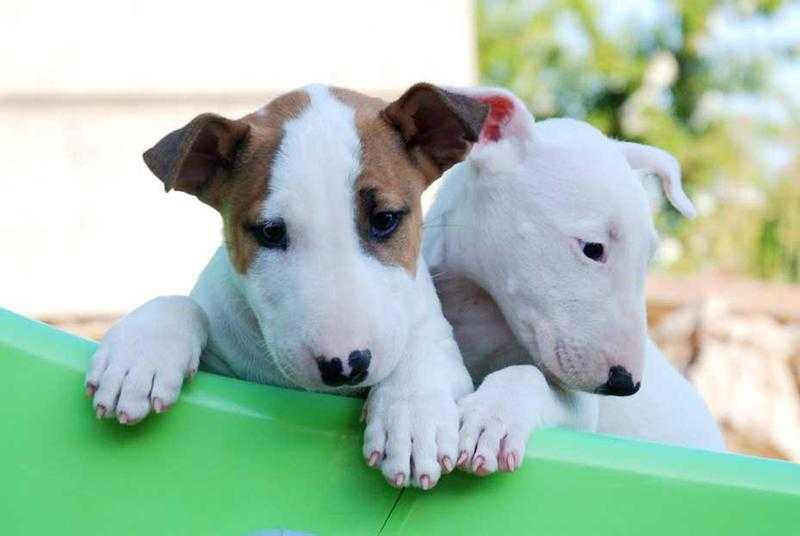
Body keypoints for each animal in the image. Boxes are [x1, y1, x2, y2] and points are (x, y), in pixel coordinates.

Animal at [86, 81, 488, 488]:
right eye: (270, 232)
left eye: (385, 219)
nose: (345, 367)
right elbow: (183, 303)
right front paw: (138, 358)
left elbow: (422, 345)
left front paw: (414, 416)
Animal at [424, 89, 724, 478]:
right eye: (593, 248)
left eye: (648, 258)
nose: (625, 385)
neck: (478, 301)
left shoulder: (581, 405)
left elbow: (528, 375)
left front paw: (492, 419)